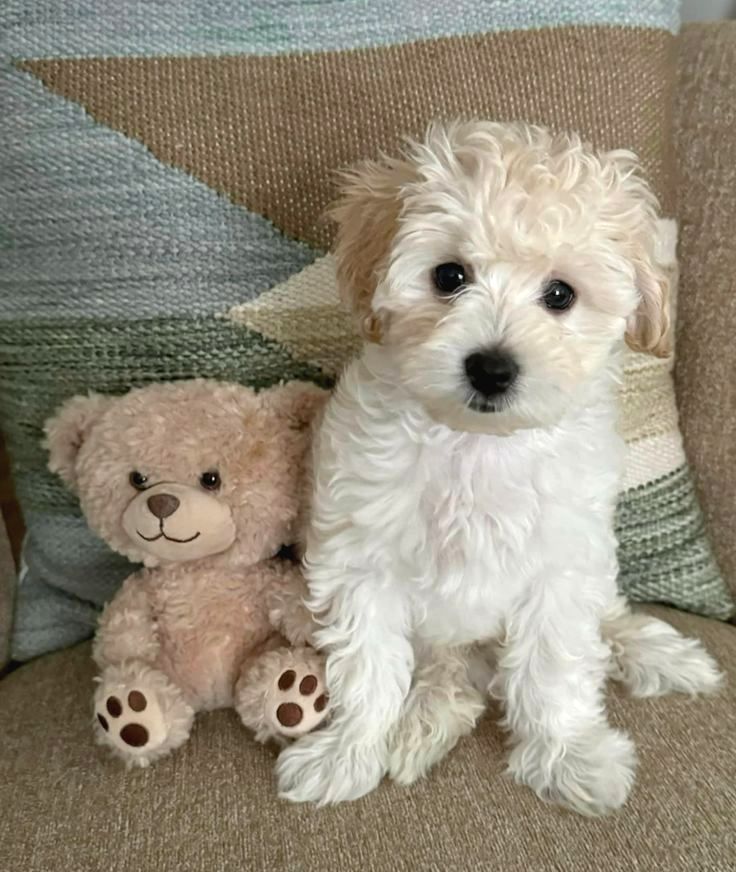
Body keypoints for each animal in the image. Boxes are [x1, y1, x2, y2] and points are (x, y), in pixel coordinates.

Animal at [276, 121, 723, 815]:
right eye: (449, 275)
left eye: (560, 295)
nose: (491, 367)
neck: (476, 444)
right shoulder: (362, 561)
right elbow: (368, 665)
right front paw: (346, 753)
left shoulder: (560, 566)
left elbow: (555, 669)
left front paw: (570, 757)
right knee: (446, 675)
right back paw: (423, 719)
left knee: (607, 620)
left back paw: (661, 654)